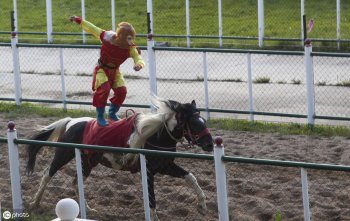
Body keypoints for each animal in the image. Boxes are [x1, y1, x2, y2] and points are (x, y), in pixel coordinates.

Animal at [25, 97, 213, 220]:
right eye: (195, 123)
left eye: (204, 121)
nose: (210, 144)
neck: (154, 135)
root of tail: (71, 122)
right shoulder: (148, 171)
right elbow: (151, 198)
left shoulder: (165, 166)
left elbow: (191, 177)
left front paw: (203, 206)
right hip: (63, 154)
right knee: (47, 174)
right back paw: (35, 203)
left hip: (87, 161)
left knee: (75, 181)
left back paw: (88, 208)